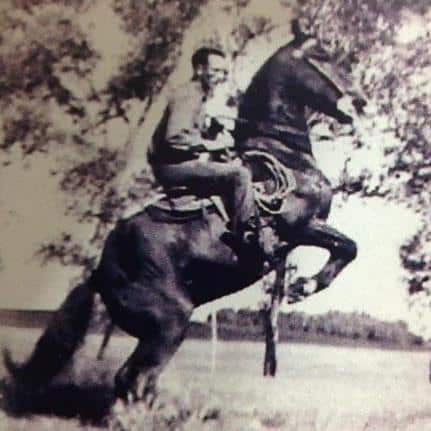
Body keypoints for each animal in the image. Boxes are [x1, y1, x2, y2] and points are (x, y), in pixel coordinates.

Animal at [3, 33, 364, 404]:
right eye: (324, 56)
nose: (360, 102)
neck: (284, 155)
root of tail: (100, 272)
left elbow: (346, 248)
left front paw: (302, 285)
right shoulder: (300, 227)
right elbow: (348, 246)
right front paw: (303, 286)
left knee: (137, 381)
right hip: (170, 322)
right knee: (133, 378)